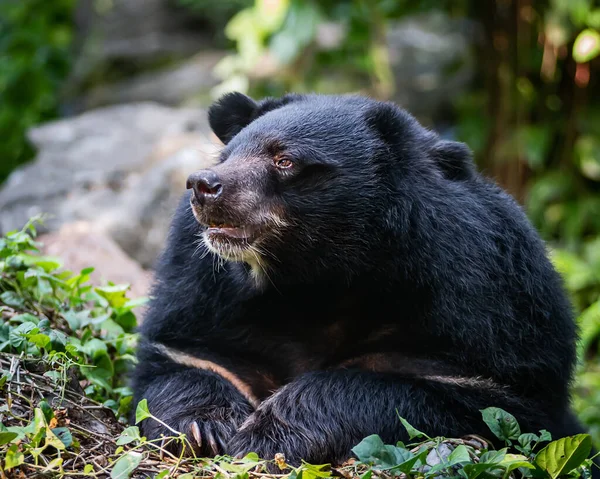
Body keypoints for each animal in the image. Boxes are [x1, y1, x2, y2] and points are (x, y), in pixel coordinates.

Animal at [131, 92, 584, 466]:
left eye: (284, 160)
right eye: (227, 156)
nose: (204, 185)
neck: (319, 275)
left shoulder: (484, 293)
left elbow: (485, 391)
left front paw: (268, 434)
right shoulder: (203, 284)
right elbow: (192, 354)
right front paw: (204, 428)